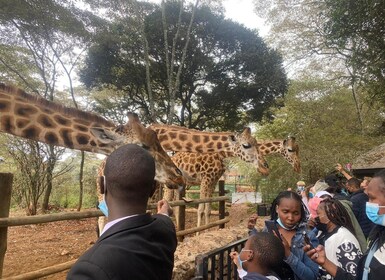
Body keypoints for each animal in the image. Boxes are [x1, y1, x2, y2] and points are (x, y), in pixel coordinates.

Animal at [165, 137, 300, 229]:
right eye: (290, 150)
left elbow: (208, 210)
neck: (222, 154)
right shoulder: (205, 179)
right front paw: (198, 233)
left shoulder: (213, 181)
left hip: (180, 185)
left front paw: (206, 230)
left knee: (175, 206)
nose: (298, 166)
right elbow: (200, 209)